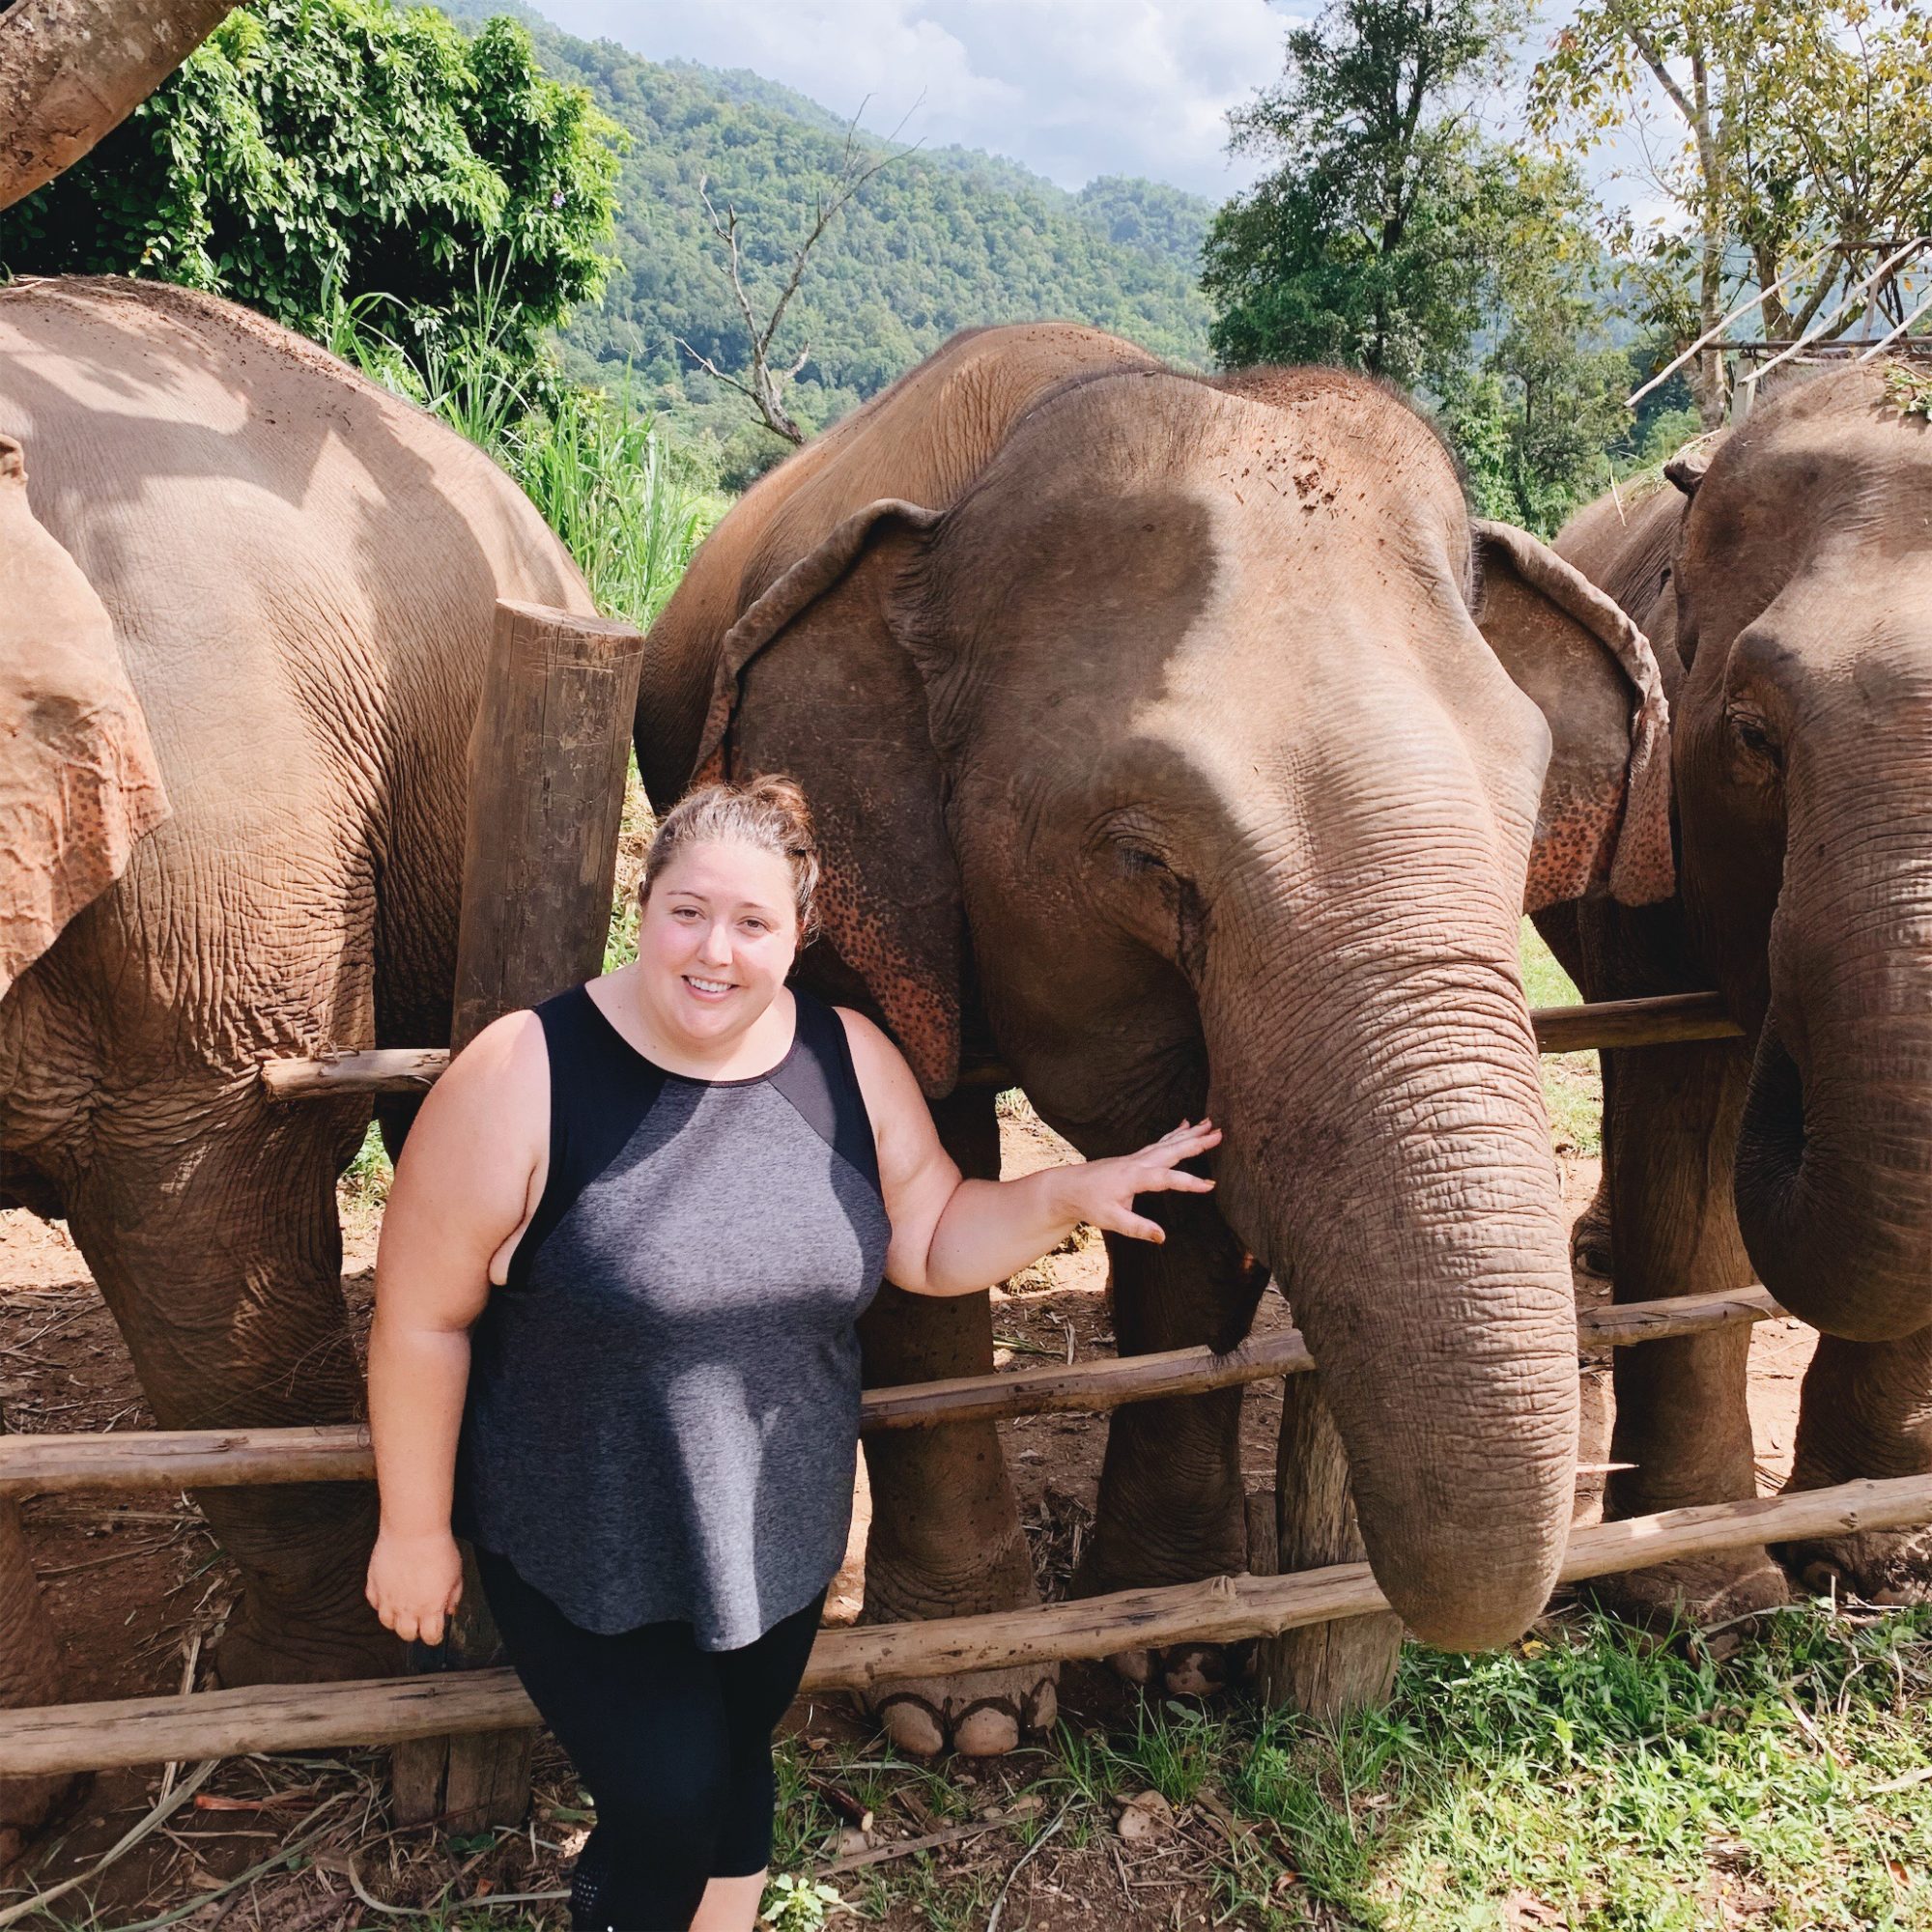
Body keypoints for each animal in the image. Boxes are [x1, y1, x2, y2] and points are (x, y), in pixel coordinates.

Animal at [641, 325, 1685, 1762]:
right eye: (1147, 862)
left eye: (1528, 808)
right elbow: (901, 1179)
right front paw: (963, 1712)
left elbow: (1201, 1216)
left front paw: (1173, 1656)